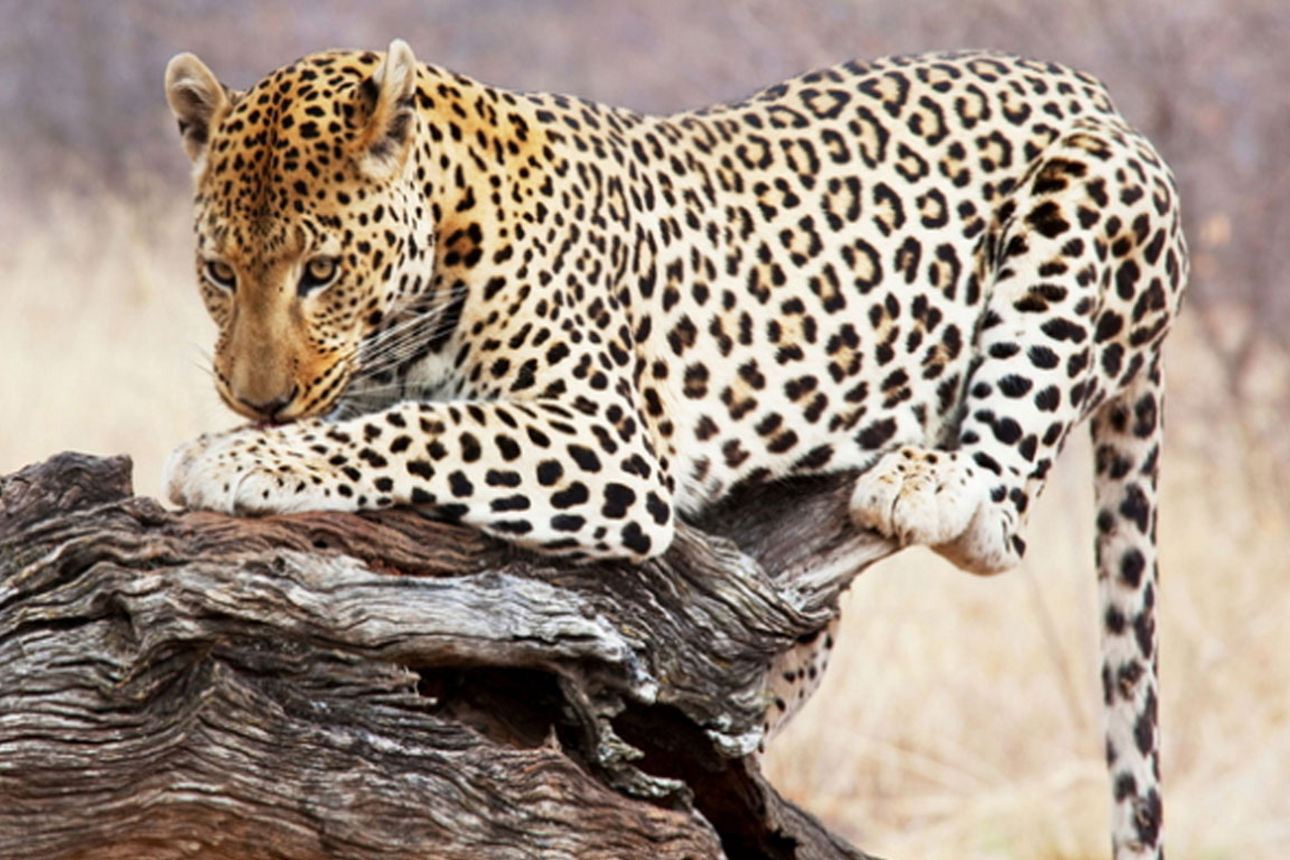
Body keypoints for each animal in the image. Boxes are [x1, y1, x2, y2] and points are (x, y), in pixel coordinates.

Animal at [163, 40, 1186, 859]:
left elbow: (421, 426)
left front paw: (239, 459)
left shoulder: (603, 439)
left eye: (320, 271)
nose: (256, 400)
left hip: (1081, 204)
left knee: (1002, 518)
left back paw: (924, 481)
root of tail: (1092, 88)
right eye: (218, 272)